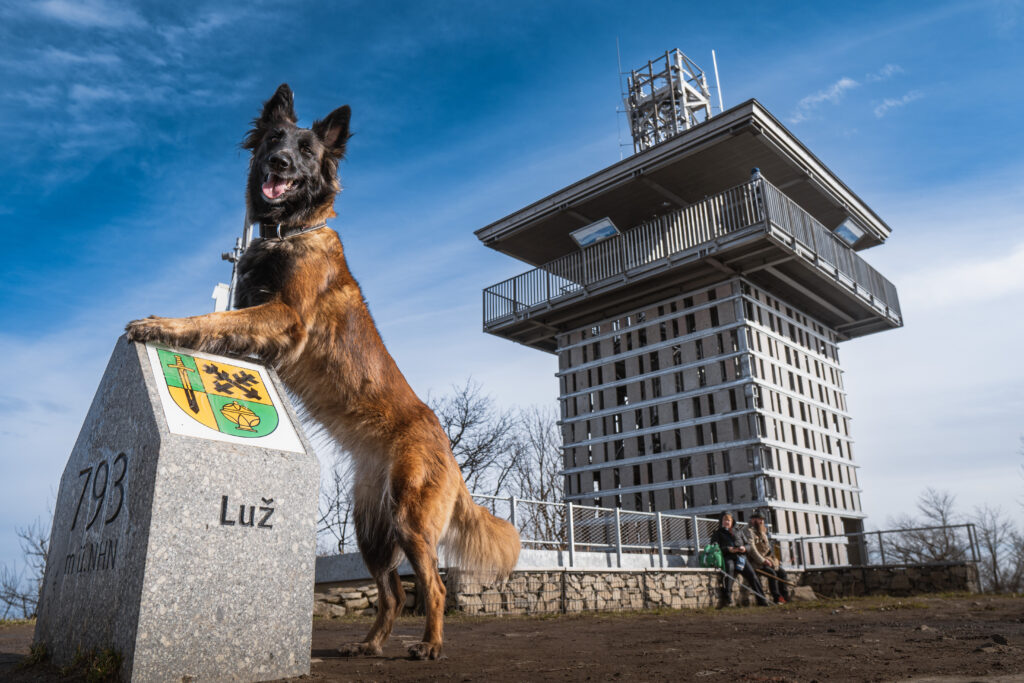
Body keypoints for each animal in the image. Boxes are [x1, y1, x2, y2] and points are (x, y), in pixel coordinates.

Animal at [122, 82, 516, 659]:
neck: (288, 230)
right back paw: (370, 644)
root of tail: (445, 443)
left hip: (410, 520)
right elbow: (224, 323)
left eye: (306, 151)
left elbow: (211, 318)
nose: (280, 162)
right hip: (371, 528)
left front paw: (161, 326)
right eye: (274, 140)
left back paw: (429, 645)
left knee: (434, 587)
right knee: (394, 593)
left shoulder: (285, 314)